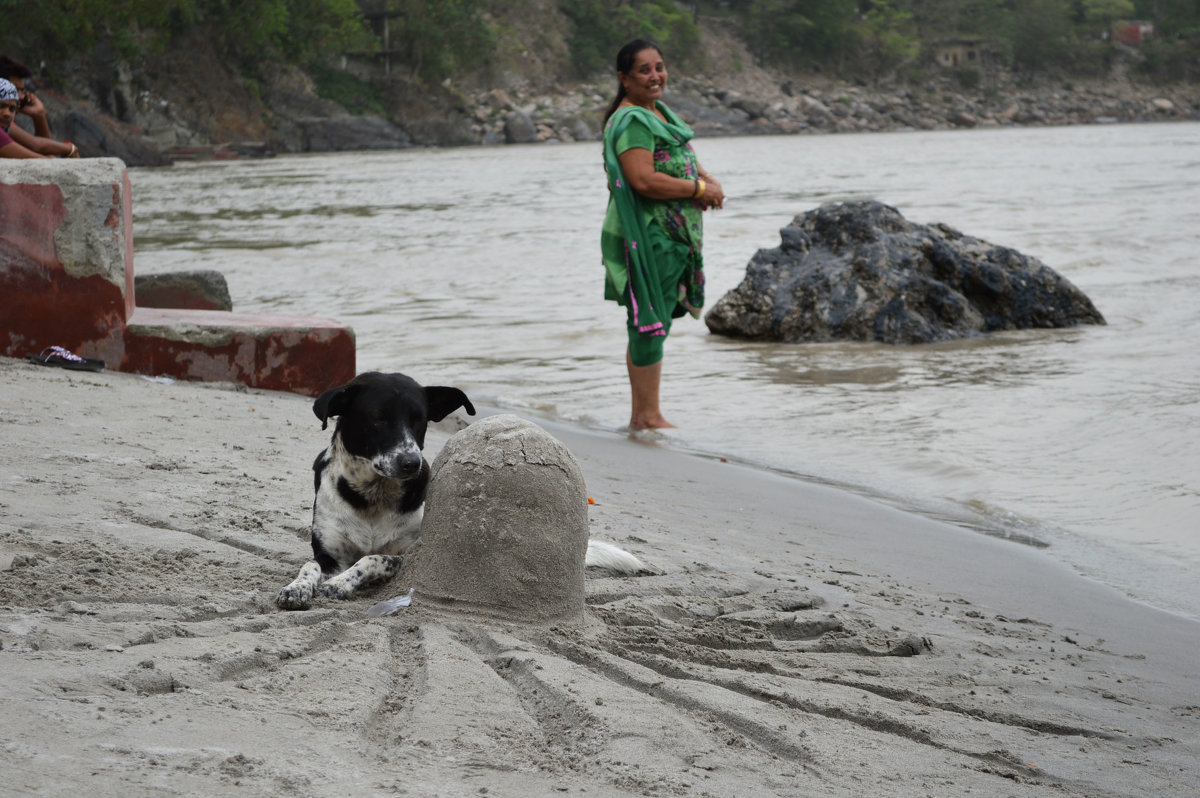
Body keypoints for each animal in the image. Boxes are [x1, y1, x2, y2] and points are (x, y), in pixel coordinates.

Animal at [276, 369, 648, 607]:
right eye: (378, 418)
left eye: (419, 420)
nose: (411, 463)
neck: (372, 497)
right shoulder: (329, 553)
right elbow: (309, 566)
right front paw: (296, 589)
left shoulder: (410, 553)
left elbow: (372, 558)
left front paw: (340, 584)